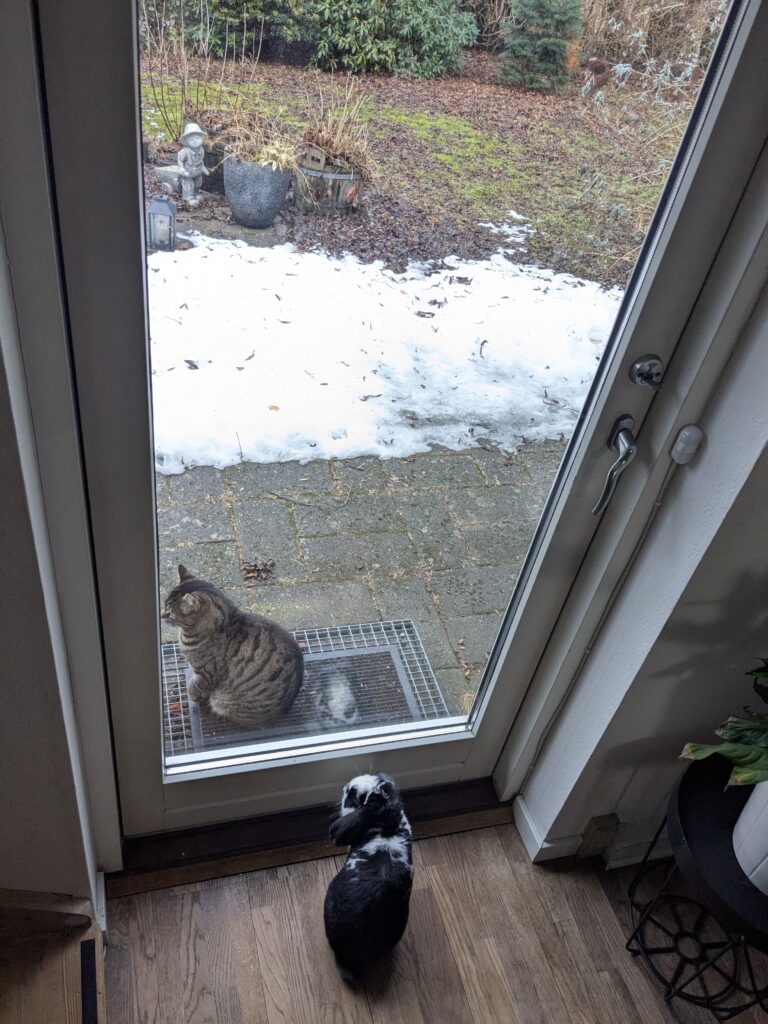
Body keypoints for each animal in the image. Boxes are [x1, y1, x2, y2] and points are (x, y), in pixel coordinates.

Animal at [162, 564, 303, 727]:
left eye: (170, 613)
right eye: (164, 604)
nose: (161, 615)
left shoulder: (206, 674)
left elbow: (194, 688)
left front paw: (194, 697)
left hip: (225, 700)